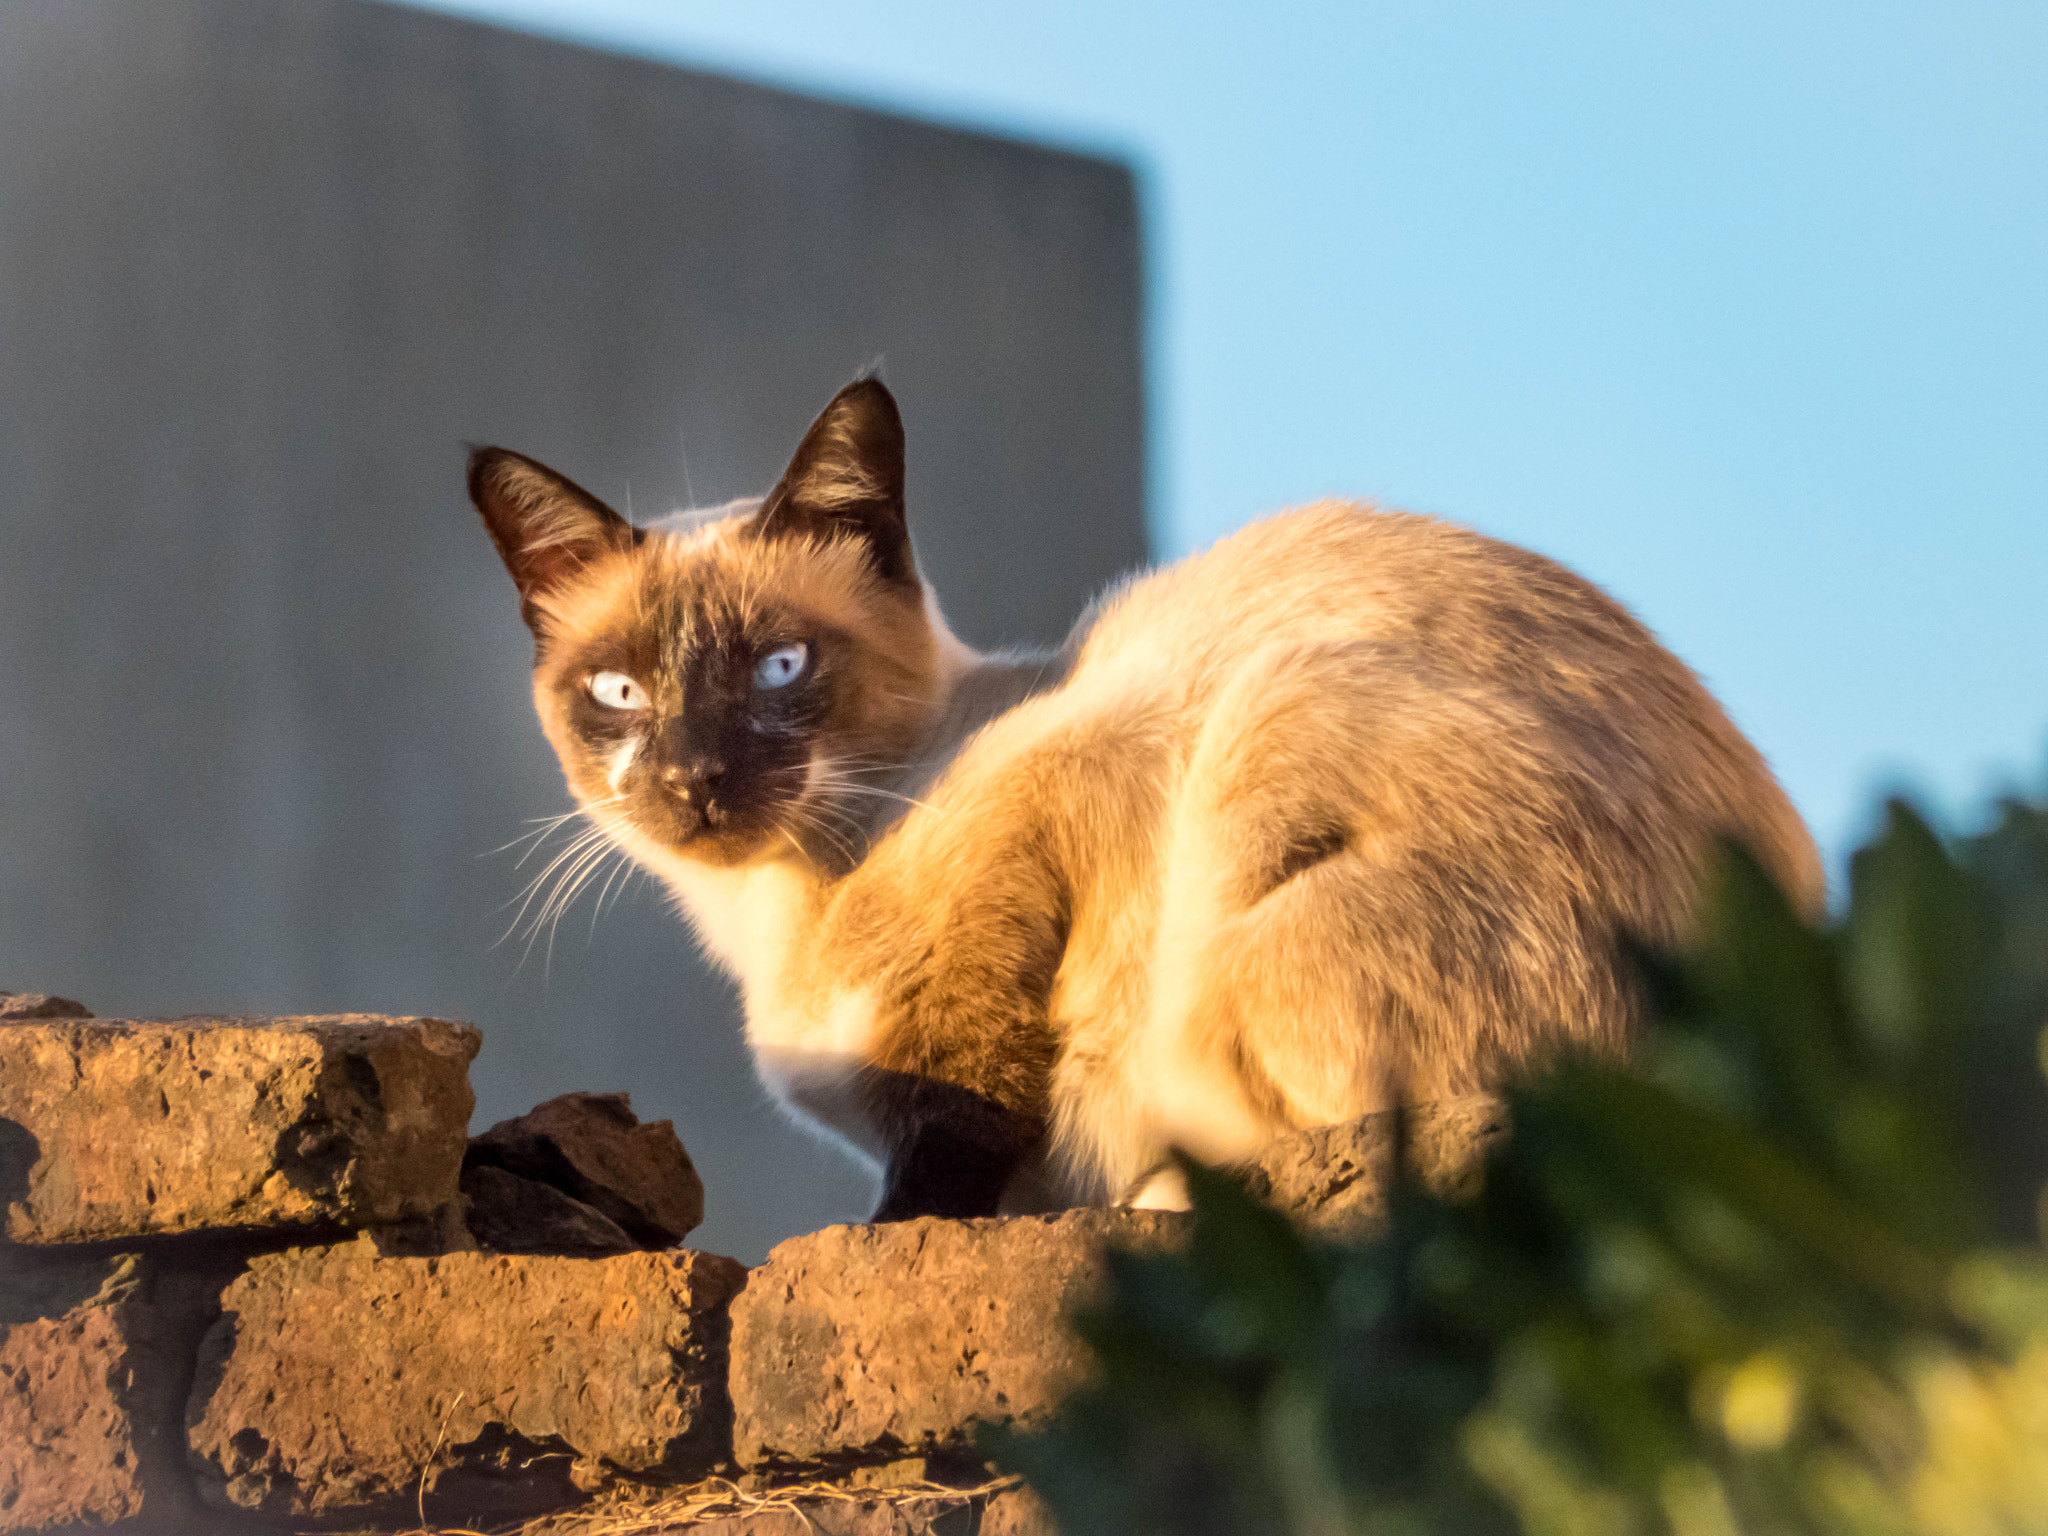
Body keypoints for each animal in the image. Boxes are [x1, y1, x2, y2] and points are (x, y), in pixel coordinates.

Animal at [468, 378, 1826, 1220]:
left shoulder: (1050, 842)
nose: (694, 781)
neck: (771, 917)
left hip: (1261, 762)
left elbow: (938, 1169)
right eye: (621, 691)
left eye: (779, 669)